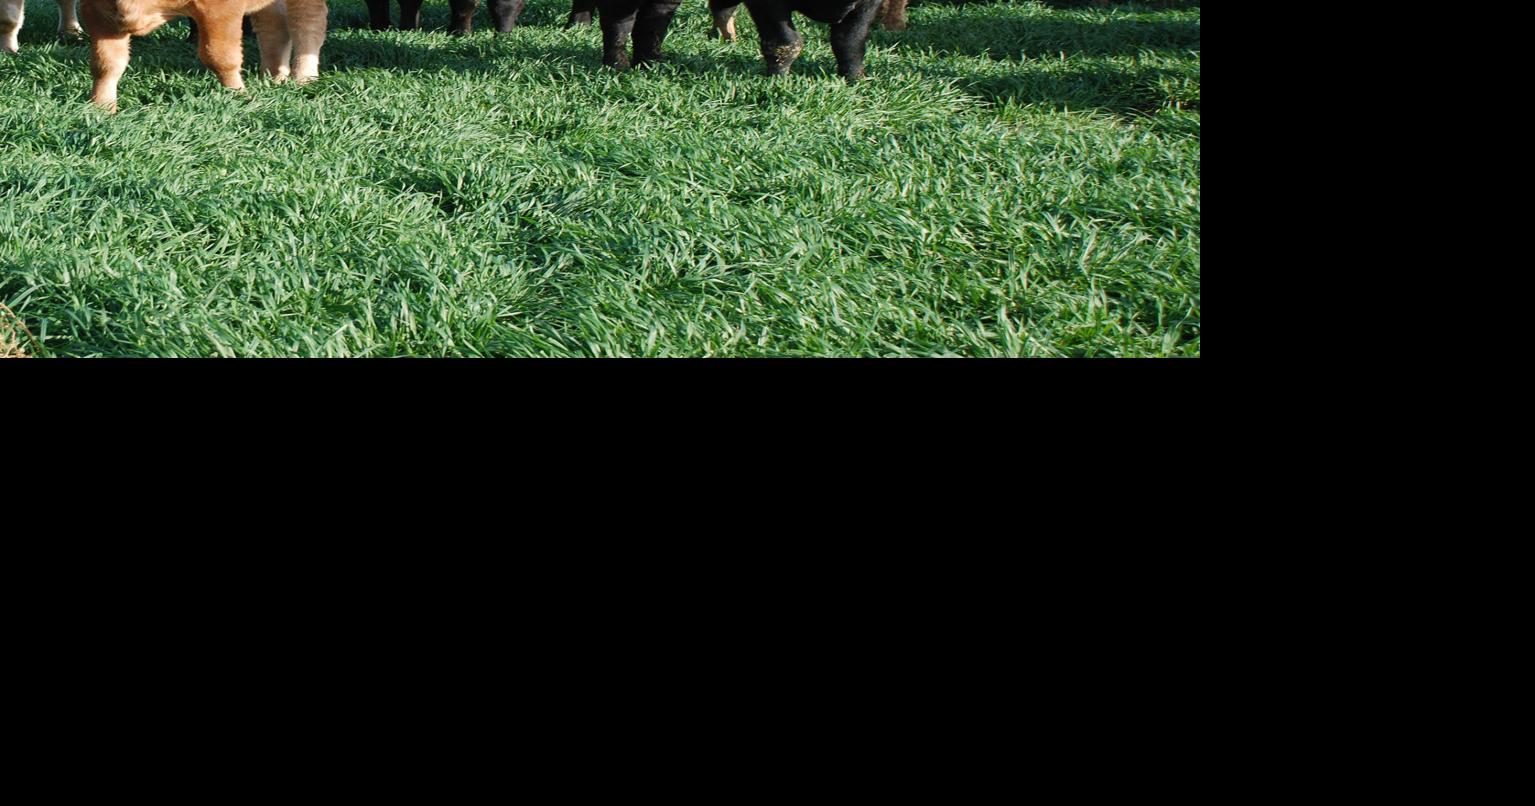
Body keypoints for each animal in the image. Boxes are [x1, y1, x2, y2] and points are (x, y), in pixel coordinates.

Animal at [77, 0, 328, 111]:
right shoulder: (97, 12)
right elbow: (105, 63)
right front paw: (102, 105)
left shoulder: (219, 9)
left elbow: (219, 56)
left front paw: (237, 93)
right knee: (273, 22)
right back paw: (273, 76)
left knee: (307, 21)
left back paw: (303, 77)